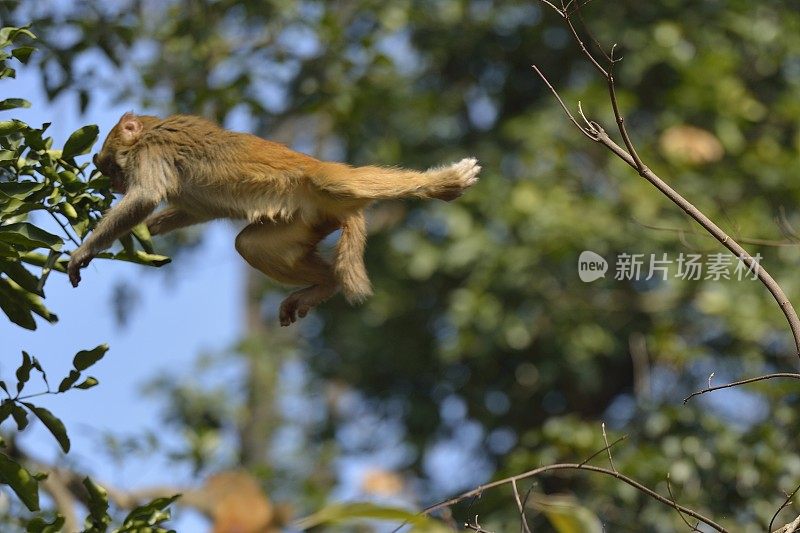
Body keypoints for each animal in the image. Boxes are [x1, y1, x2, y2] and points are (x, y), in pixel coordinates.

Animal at [69, 113, 478, 324]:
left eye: (111, 168)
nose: (115, 184)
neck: (149, 130)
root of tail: (343, 212)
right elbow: (194, 210)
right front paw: (145, 230)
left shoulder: (152, 152)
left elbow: (146, 196)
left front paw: (85, 251)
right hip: (309, 217)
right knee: (250, 244)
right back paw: (325, 285)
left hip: (319, 185)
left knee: (339, 181)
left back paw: (443, 183)